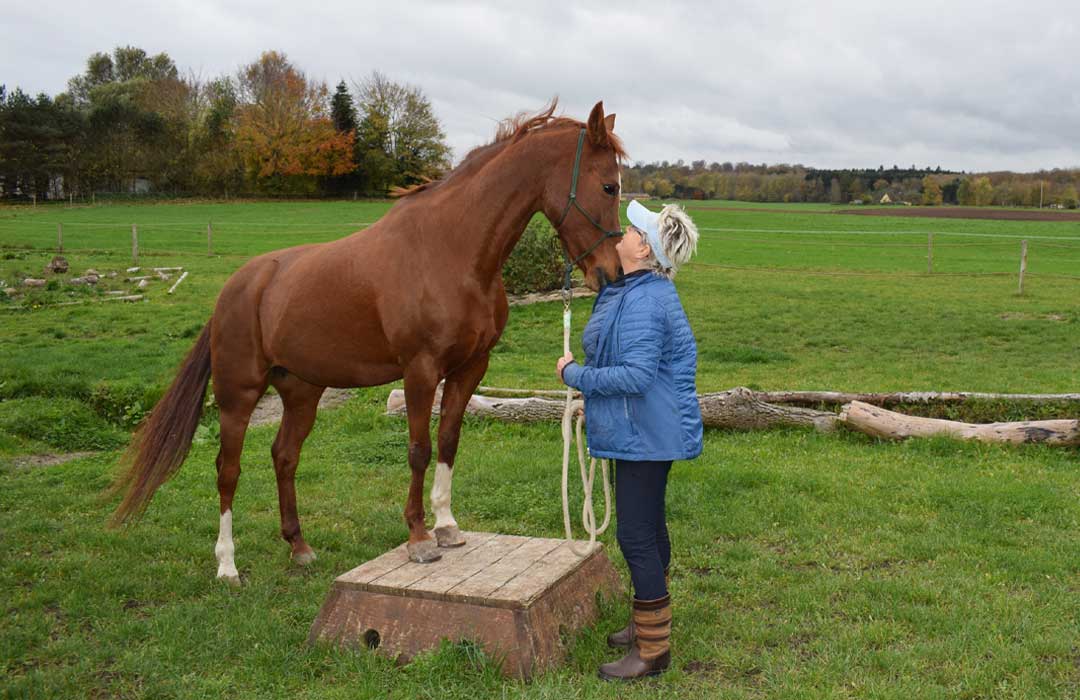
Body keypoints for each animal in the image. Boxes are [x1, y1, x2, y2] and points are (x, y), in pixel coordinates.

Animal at [108, 97, 626, 579]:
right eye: (608, 185)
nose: (611, 275)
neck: (452, 251)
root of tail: (238, 286)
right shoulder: (420, 370)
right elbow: (418, 449)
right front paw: (419, 537)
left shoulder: (470, 367)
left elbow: (449, 439)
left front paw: (447, 525)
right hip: (239, 395)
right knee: (227, 470)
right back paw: (227, 566)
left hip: (302, 391)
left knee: (284, 456)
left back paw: (299, 547)